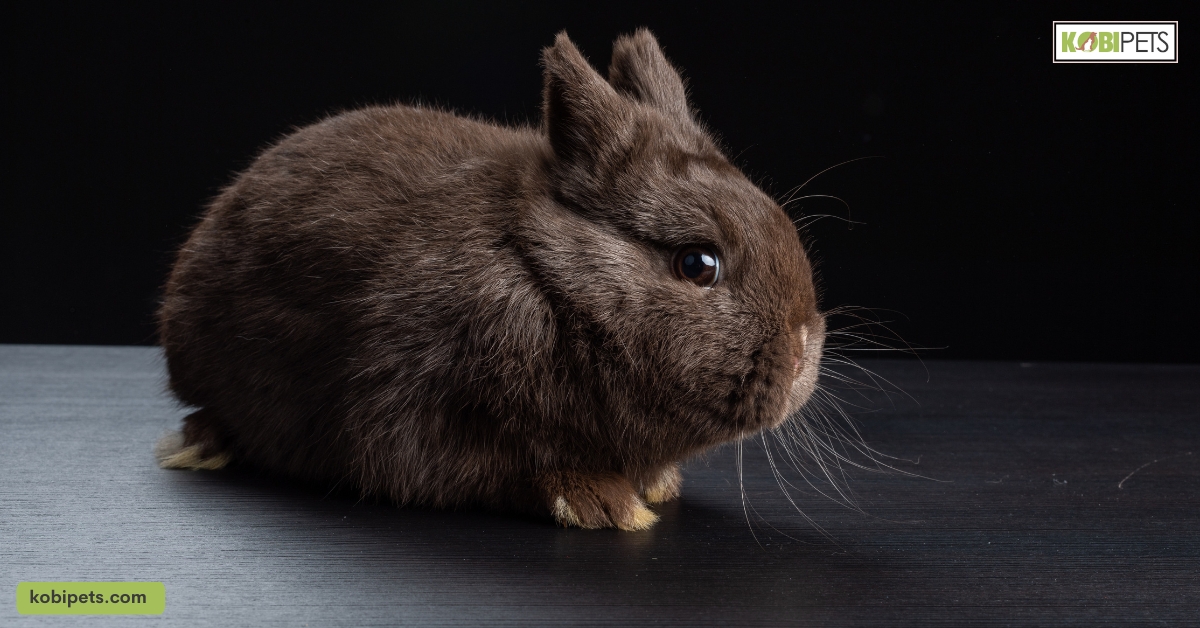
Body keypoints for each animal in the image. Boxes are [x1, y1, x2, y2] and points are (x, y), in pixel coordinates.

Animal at [155, 28, 826, 531]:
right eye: (697, 263)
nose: (802, 351)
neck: (550, 282)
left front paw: (656, 486)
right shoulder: (416, 413)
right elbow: (511, 470)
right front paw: (605, 503)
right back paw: (199, 444)